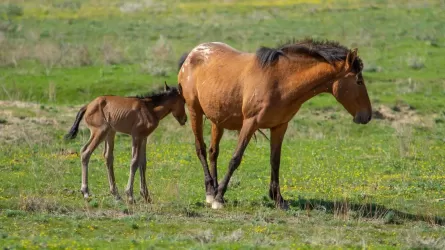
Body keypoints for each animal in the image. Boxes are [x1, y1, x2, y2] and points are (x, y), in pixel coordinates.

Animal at [177, 39, 372, 210]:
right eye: (359, 81)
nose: (367, 116)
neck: (280, 81)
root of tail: (192, 54)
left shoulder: (280, 126)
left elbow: (275, 161)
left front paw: (278, 198)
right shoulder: (250, 123)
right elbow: (235, 159)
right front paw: (219, 198)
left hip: (217, 120)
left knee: (213, 153)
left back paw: (213, 189)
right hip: (195, 112)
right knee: (201, 149)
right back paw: (212, 192)